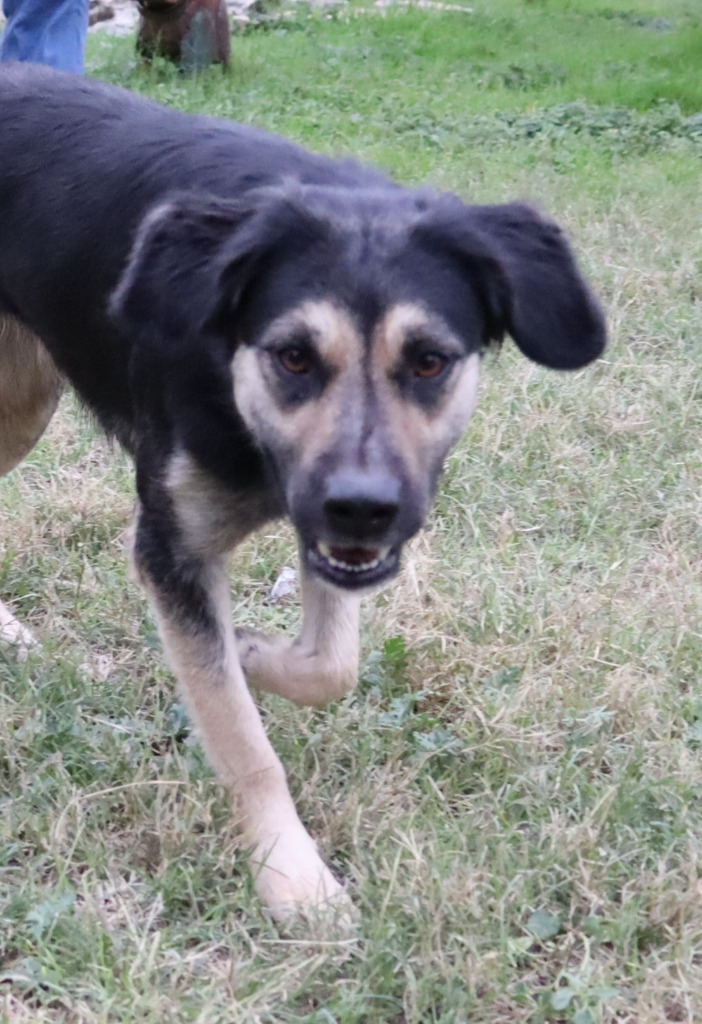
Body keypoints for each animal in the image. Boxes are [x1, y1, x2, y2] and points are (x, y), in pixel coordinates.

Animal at [0, 64, 605, 921]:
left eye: (429, 360)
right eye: (292, 356)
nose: (365, 506)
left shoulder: (331, 529)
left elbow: (329, 666)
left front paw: (253, 649)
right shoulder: (173, 546)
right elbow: (242, 740)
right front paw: (293, 877)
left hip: (26, 396)